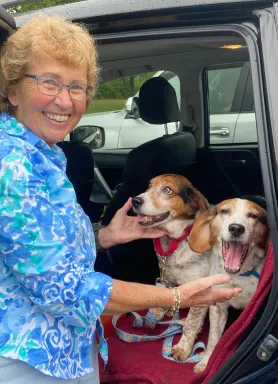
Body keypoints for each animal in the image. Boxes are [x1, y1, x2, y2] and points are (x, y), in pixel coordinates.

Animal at [132, 174, 211, 360]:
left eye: (167, 190)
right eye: (149, 185)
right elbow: (166, 294)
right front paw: (163, 311)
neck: (176, 241)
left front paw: (183, 348)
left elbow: (190, 323)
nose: (135, 200)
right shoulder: (167, 276)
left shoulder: (201, 293)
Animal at [188, 198, 268, 372]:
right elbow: (213, 339)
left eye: (253, 215)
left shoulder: (251, 309)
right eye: (224, 211)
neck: (236, 276)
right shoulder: (217, 307)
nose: (236, 228)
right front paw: (206, 362)